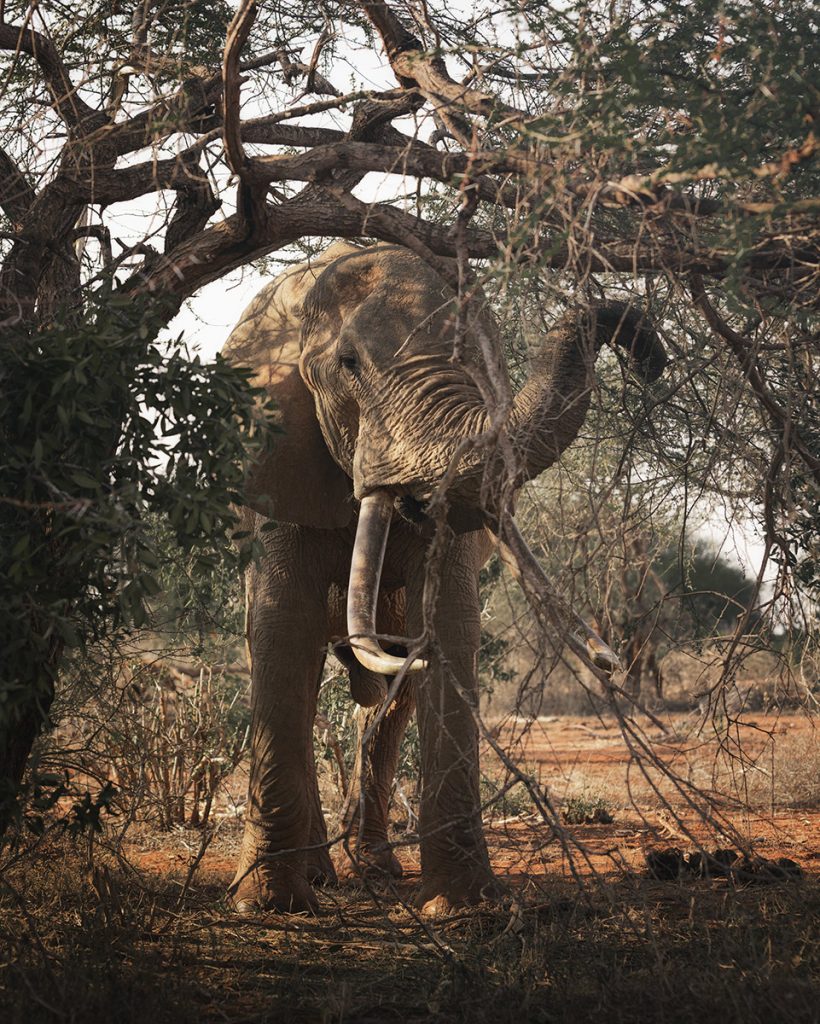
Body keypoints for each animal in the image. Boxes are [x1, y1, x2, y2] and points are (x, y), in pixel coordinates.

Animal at [222, 241, 667, 916]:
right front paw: (268, 906)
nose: (648, 354)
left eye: (485, 366)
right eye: (348, 364)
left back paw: (377, 869)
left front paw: (464, 909)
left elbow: (452, 630)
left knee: (389, 696)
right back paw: (319, 878)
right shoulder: (279, 454)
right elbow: (280, 630)